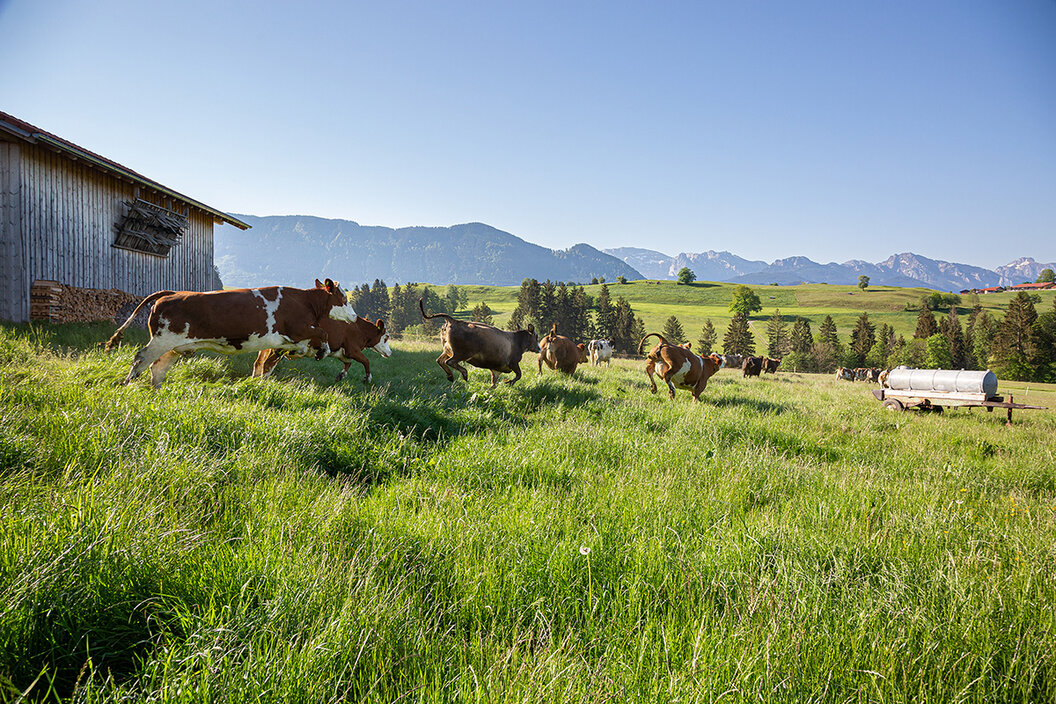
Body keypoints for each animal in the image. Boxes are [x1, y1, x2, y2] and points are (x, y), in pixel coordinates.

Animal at [105, 278, 356, 388]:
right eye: (343, 299)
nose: (354, 317)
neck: (305, 302)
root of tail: (172, 292)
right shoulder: (298, 328)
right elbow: (322, 333)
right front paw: (320, 350)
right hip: (161, 340)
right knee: (141, 358)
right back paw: (127, 384)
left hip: (174, 346)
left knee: (157, 367)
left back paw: (156, 389)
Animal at [251, 314, 392, 382]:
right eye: (386, 337)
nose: (390, 353)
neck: (359, 328)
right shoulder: (353, 349)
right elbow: (366, 361)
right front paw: (368, 378)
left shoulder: (341, 351)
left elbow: (348, 363)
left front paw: (341, 375)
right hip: (279, 348)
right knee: (268, 364)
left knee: (258, 363)